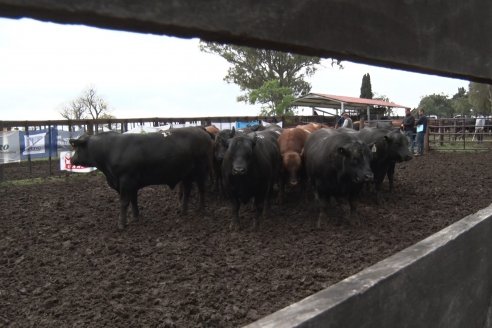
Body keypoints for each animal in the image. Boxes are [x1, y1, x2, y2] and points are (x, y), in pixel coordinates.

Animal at [69, 127, 213, 229]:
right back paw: (183, 211)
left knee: (201, 189)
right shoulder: (131, 184)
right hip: (186, 174)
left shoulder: (126, 181)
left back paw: (201, 209)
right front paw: (136, 217)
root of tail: (201, 130)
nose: (71, 159)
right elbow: (133, 200)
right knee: (187, 191)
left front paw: (121, 224)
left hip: (201, 171)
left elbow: (124, 202)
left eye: (77, 147)